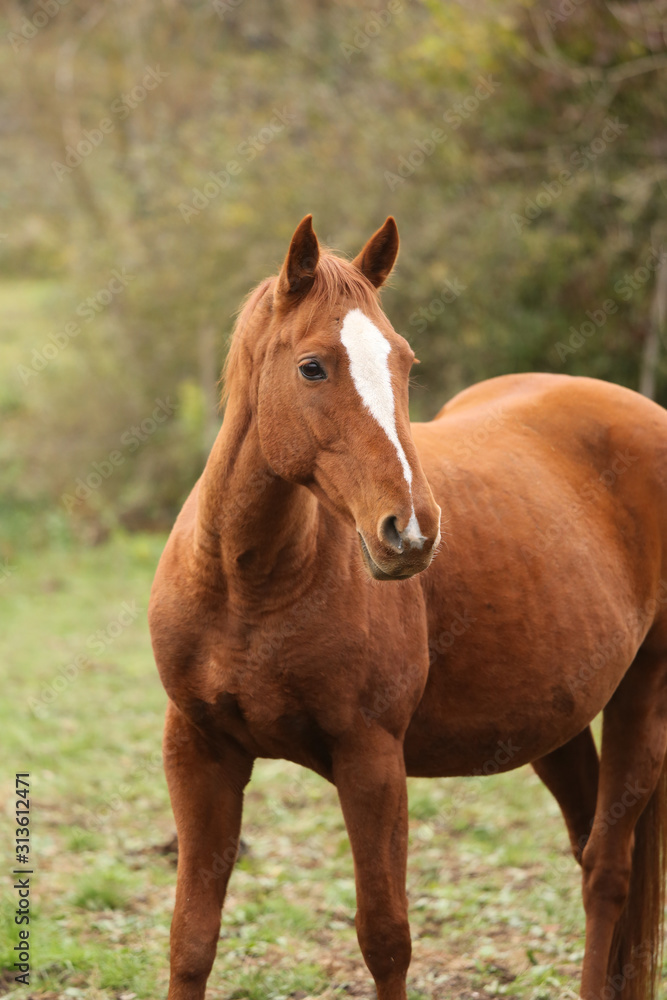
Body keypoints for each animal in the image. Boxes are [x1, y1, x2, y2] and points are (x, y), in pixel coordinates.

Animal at [151, 217, 667, 1000]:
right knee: (592, 853)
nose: (413, 532)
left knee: (608, 873)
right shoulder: (199, 752)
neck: (249, 588)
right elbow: (191, 941)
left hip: (643, 696)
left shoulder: (370, 759)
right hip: (559, 723)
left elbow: (385, 939)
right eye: (312, 367)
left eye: (402, 361)